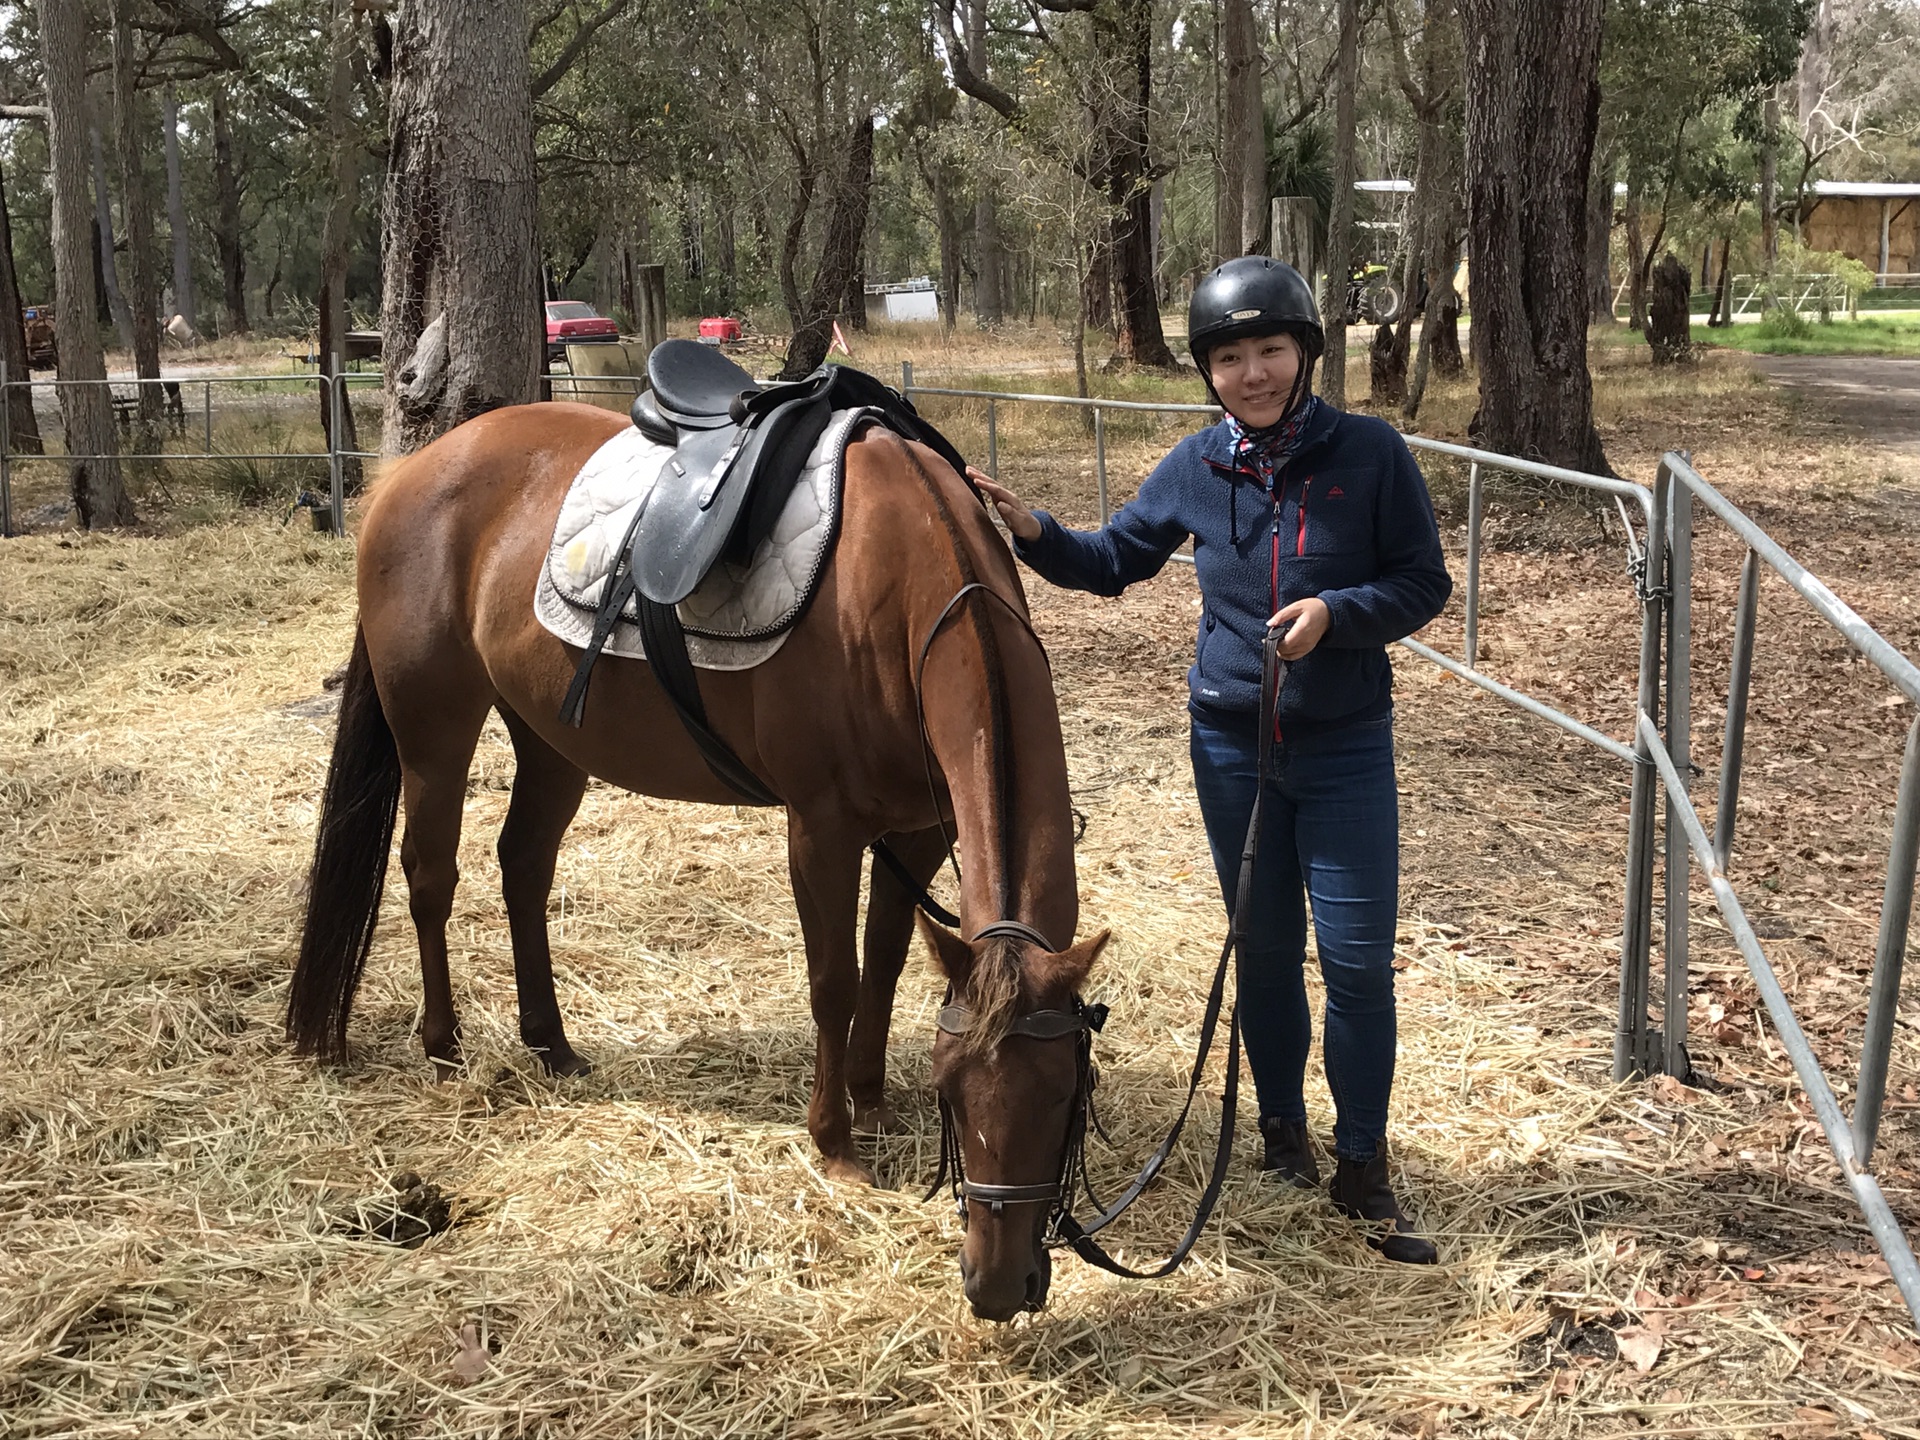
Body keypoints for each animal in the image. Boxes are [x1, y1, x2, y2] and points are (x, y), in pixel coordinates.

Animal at [291, 401, 1121, 1328]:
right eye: (954, 1094)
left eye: (1066, 1095)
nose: (998, 1285)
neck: (909, 586)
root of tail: (413, 471)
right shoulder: (821, 827)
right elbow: (834, 981)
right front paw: (835, 1143)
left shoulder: (914, 831)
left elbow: (885, 963)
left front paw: (870, 1098)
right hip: (435, 731)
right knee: (432, 876)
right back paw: (443, 1048)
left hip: (551, 740)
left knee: (524, 868)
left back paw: (551, 1044)